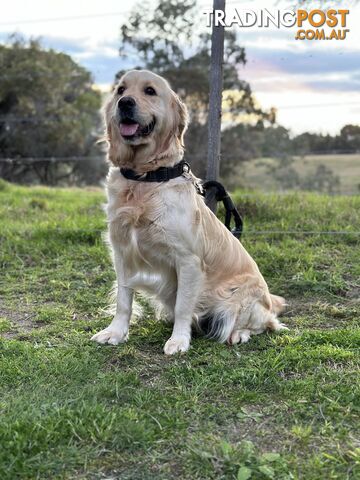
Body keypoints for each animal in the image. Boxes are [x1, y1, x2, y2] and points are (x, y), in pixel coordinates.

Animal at [90, 69, 286, 354]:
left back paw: (239, 334)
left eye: (150, 91)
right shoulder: (122, 252)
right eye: (120, 90)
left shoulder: (188, 260)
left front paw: (179, 340)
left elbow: (183, 305)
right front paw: (115, 332)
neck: (146, 177)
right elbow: (123, 299)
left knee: (265, 323)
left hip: (237, 300)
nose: (125, 103)